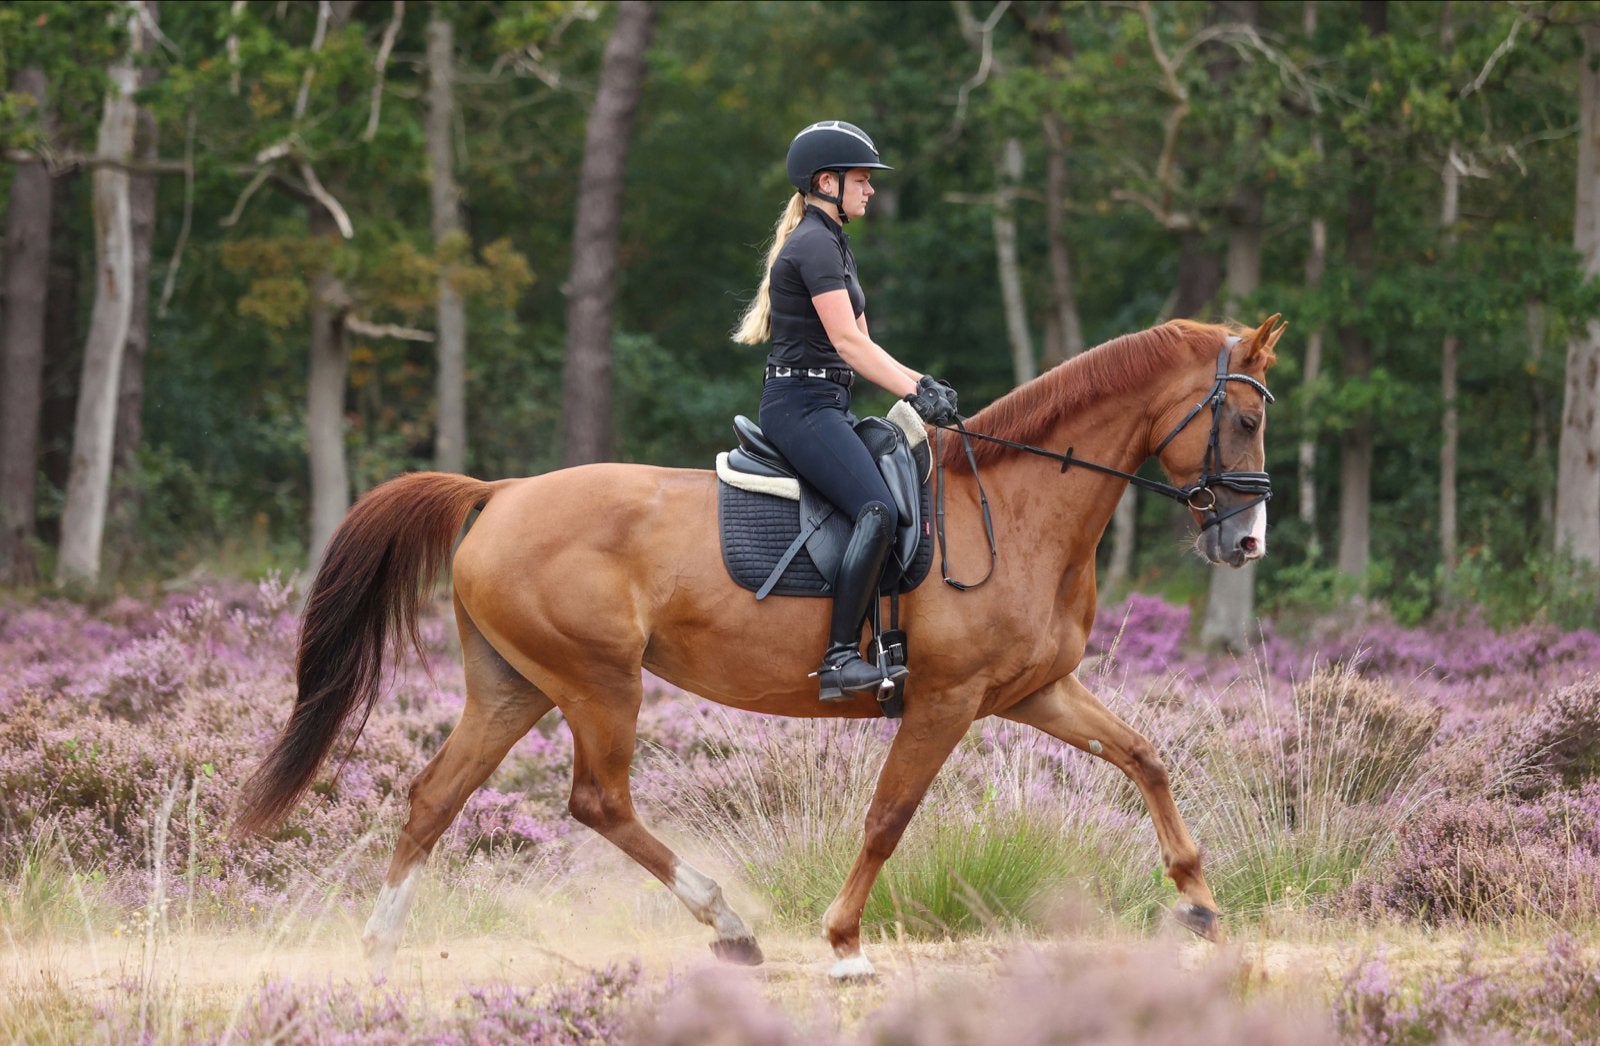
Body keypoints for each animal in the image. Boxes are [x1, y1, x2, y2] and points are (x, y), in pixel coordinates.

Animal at [235, 314, 1284, 980]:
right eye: (1244, 416)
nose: (1246, 543)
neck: (1018, 507)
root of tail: (499, 493)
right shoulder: (945, 700)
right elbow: (888, 818)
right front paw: (846, 945)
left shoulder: (1032, 691)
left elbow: (1145, 757)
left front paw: (1199, 906)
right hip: (598, 683)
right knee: (597, 800)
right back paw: (729, 924)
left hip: (513, 688)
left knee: (434, 797)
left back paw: (380, 949)